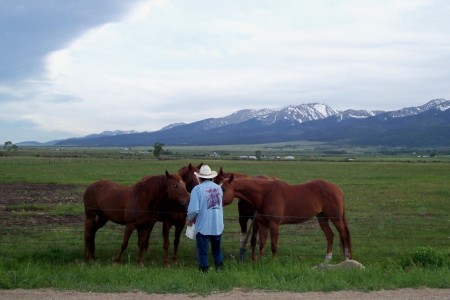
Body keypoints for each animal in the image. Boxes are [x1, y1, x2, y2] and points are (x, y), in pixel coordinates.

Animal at [221, 176, 352, 262]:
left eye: (224, 189)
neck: (264, 194)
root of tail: (337, 189)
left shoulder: (274, 224)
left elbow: (273, 245)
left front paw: (273, 262)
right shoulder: (263, 224)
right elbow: (262, 244)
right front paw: (259, 261)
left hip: (336, 218)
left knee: (343, 235)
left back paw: (346, 258)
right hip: (322, 218)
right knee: (330, 236)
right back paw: (327, 260)